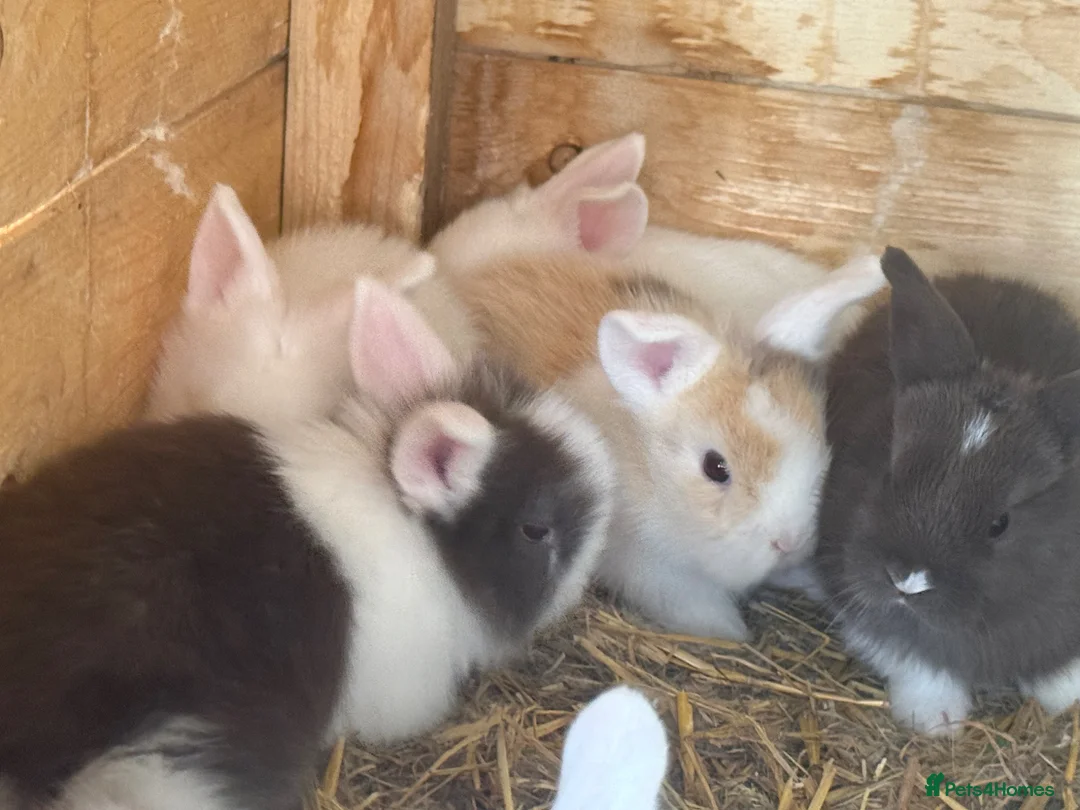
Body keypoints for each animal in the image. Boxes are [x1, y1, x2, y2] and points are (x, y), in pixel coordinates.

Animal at [446, 245, 885, 640]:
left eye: (821, 440)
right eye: (715, 468)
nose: (789, 541)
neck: (647, 465)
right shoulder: (652, 569)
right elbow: (700, 606)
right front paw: (733, 633)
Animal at [817, 246, 1080, 735]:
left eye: (1000, 523)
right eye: (891, 472)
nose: (907, 579)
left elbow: (1058, 669)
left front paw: (1069, 702)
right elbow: (920, 665)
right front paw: (936, 721)